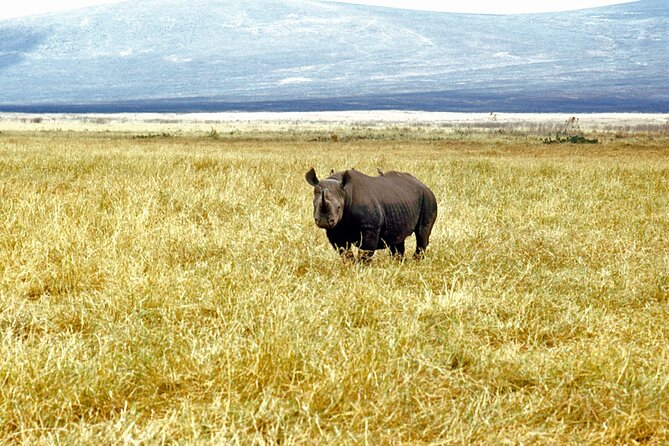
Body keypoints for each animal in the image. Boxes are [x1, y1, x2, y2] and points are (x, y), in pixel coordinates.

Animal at [305, 168, 437, 261]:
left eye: (338, 207)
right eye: (314, 205)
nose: (324, 221)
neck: (345, 193)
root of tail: (423, 184)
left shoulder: (370, 227)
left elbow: (365, 252)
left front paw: (360, 269)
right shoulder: (335, 228)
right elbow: (344, 252)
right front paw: (349, 267)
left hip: (428, 198)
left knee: (422, 233)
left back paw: (416, 262)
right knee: (397, 239)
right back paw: (398, 263)